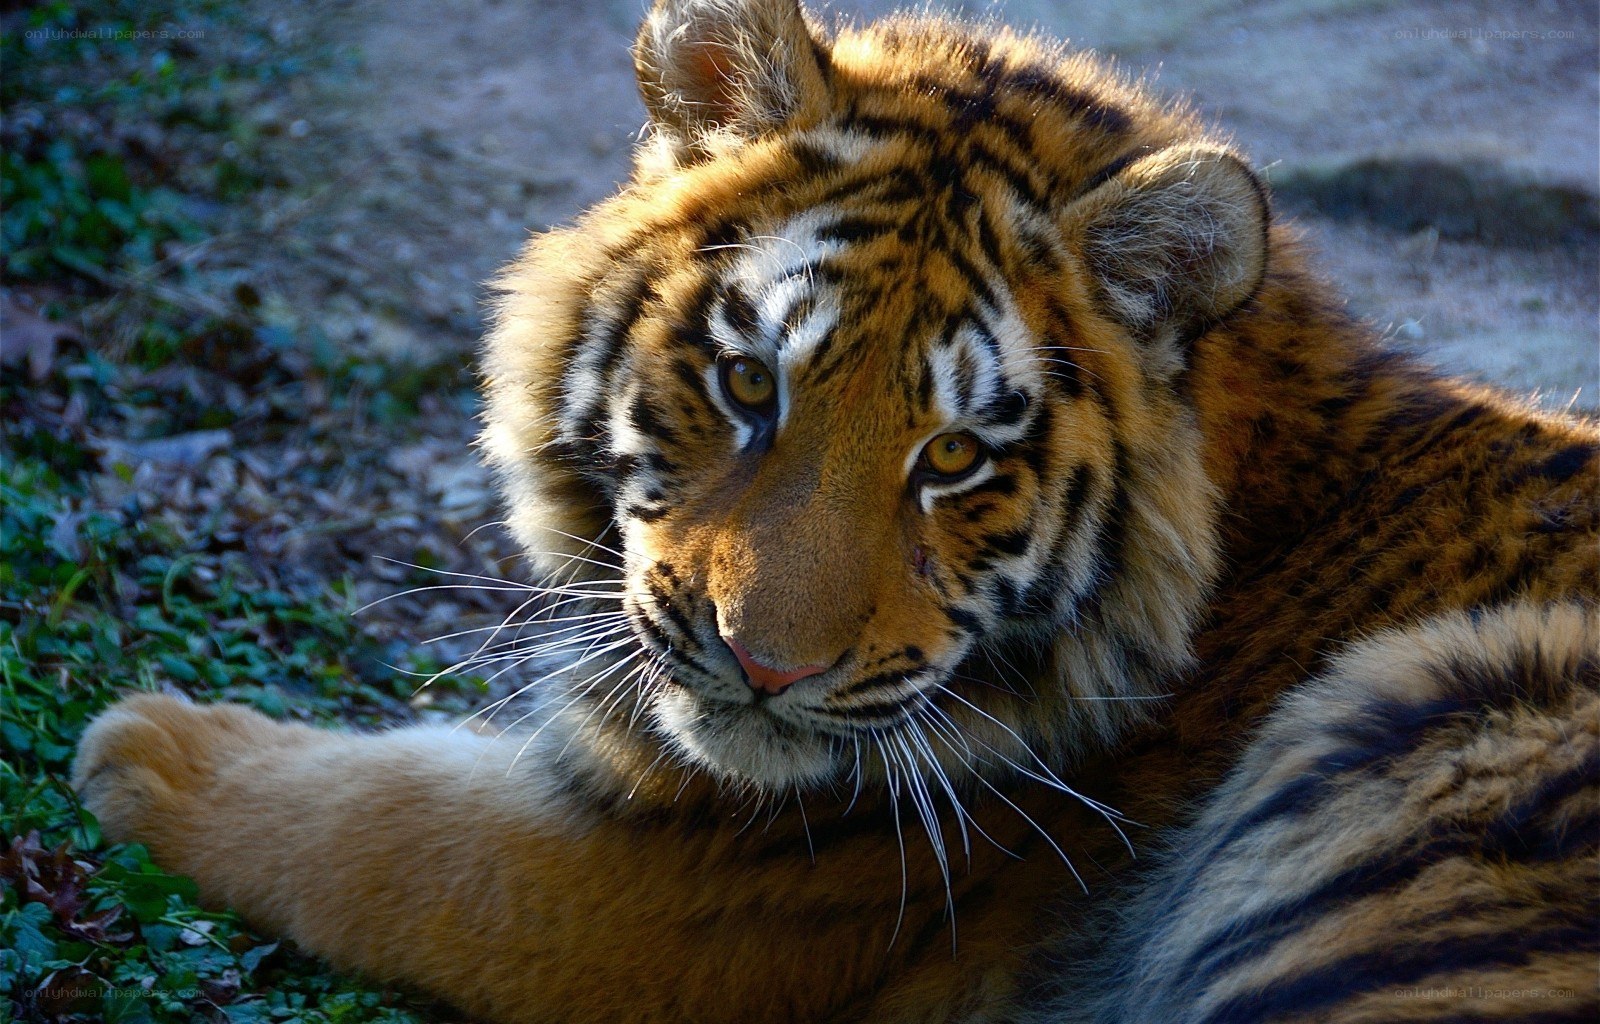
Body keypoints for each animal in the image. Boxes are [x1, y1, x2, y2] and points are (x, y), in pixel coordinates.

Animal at [73, 1, 1599, 1022]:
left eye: (955, 457)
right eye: (751, 381)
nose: (762, 666)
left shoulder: (659, 893)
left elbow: (393, 831)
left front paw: (151, 747)